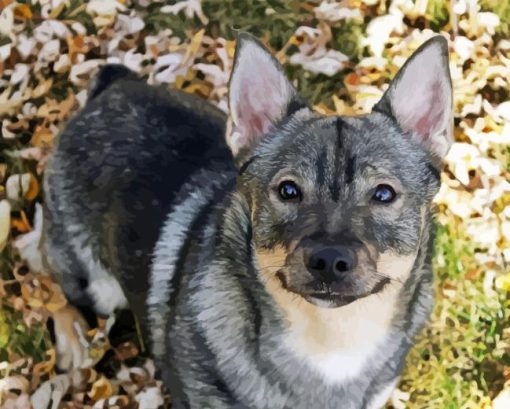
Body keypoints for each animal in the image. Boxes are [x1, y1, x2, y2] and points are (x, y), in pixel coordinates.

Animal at [41, 32, 452, 408]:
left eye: (383, 194)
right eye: (288, 190)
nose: (329, 260)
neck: (330, 344)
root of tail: (113, 86)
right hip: (95, 283)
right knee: (54, 284)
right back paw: (72, 342)